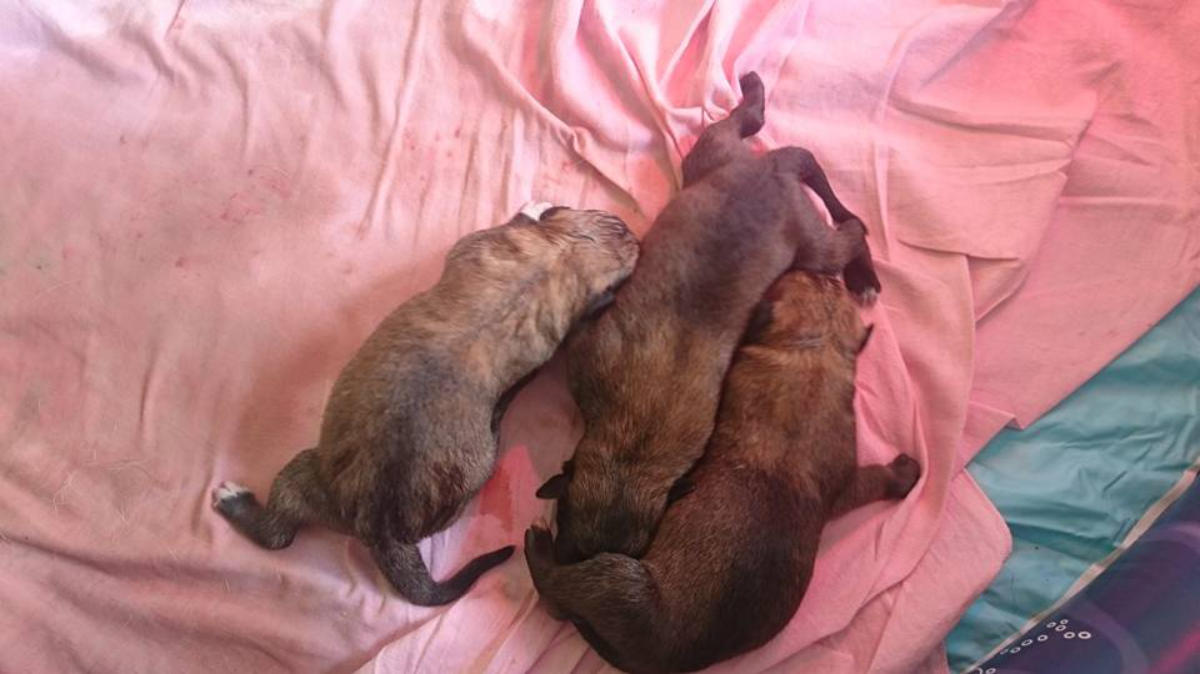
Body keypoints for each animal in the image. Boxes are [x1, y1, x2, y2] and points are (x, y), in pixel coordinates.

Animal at [213, 203, 639, 606]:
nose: (633, 233)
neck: (562, 255)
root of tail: (380, 528)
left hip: (315, 473)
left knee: (278, 535)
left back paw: (234, 500)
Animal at [526, 271, 920, 673]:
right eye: (826, 285)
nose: (824, 273)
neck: (815, 349)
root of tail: (656, 661)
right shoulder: (843, 479)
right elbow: (869, 480)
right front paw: (904, 475)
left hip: (617, 582)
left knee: (555, 592)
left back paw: (539, 547)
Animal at [535, 72, 882, 564]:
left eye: (562, 518)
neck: (633, 446)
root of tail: (771, 170)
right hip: (713, 157)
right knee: (756, 129)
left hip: (811, 246)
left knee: (852, 231)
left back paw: (863, 274)